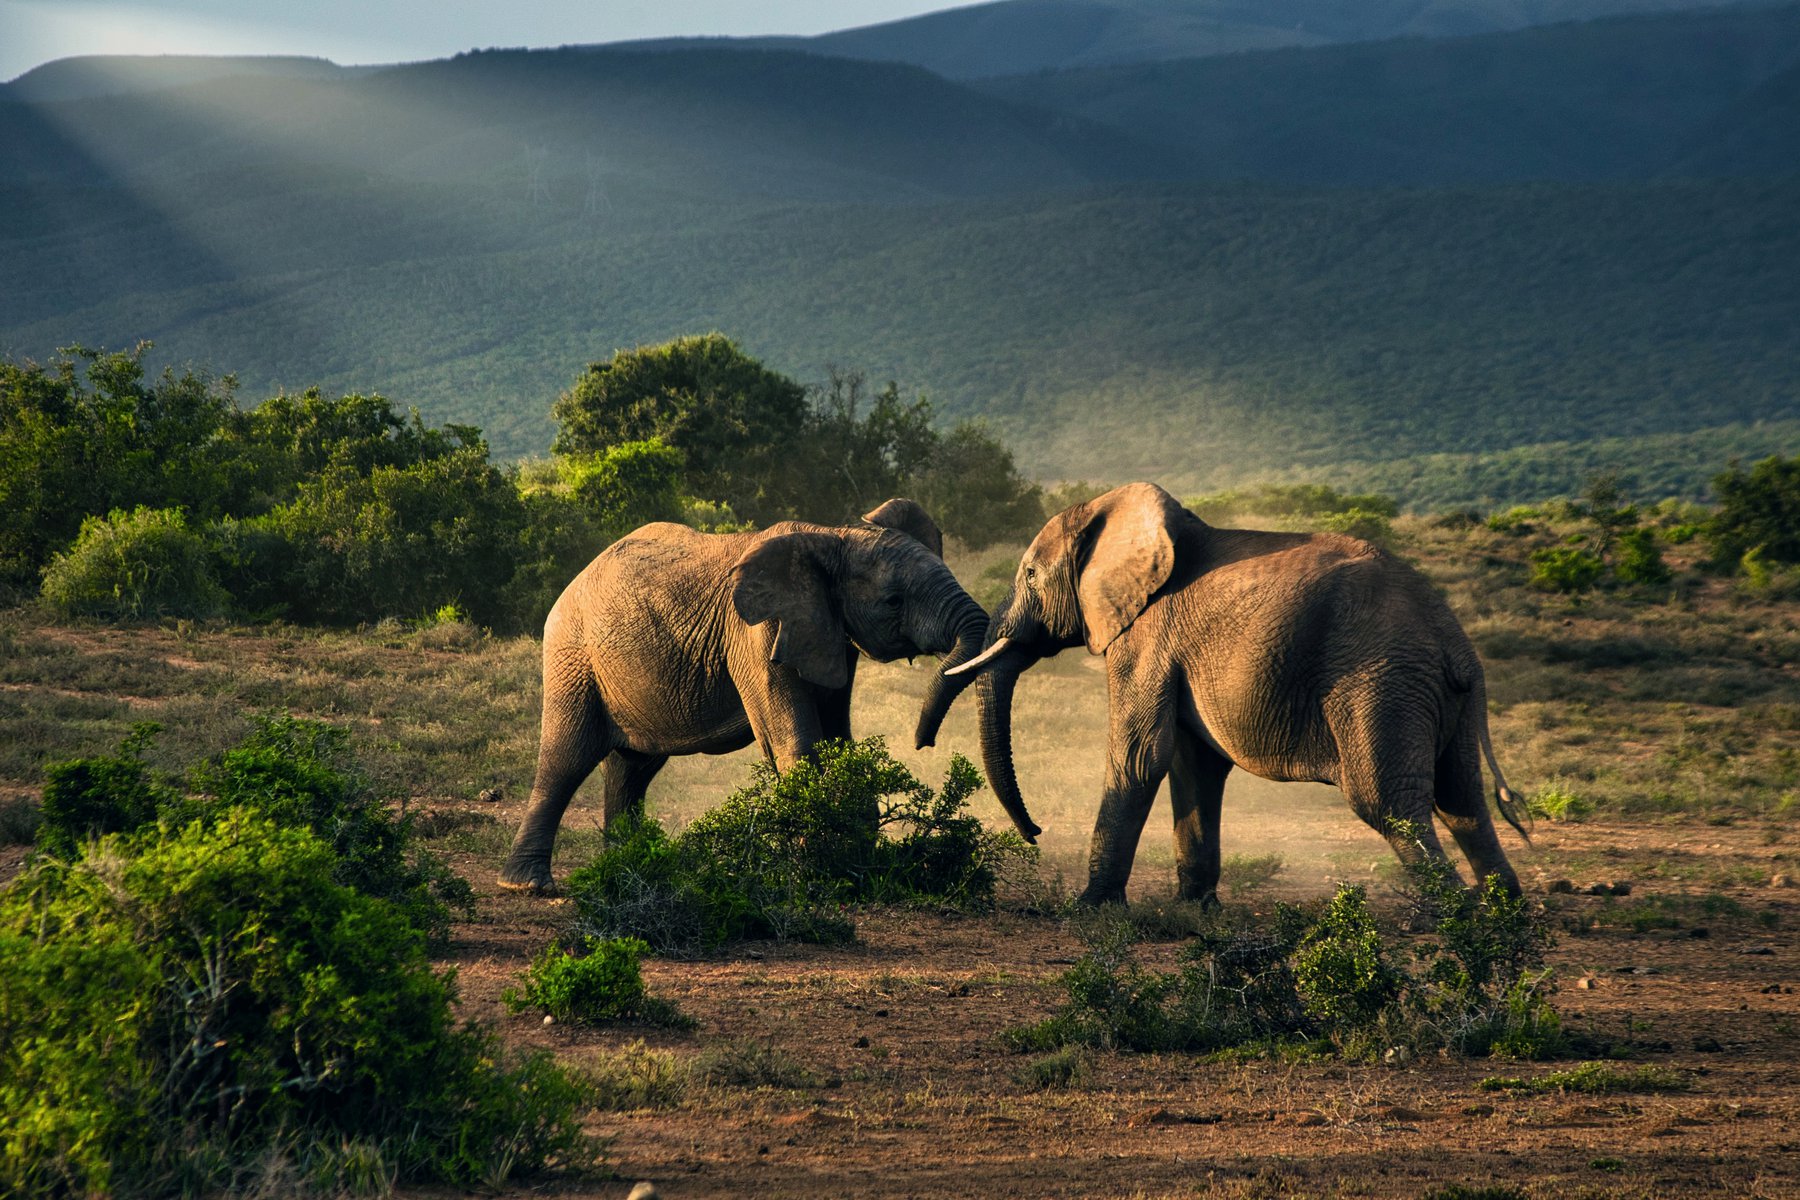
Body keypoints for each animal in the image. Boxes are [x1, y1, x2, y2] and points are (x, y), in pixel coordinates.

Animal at [500, 496, 993, 892]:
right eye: (893, 601)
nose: (922, 741)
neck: (834, 536)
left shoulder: (827, 633)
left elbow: (838, 740)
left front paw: (855, 864)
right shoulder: (755, 635)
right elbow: (796, 742)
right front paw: (814, 873)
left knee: (632, 768)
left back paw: (625, 872)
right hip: (572, 654)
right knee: (568, 756)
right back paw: (527, 886)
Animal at [950, 482, 1526, 906]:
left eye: (1029, 574)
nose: (1035, 832)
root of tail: (1458, 645)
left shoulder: (1148, 635)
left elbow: (1139, 757)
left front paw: (1091, 907)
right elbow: (1192, 763)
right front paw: (1195, 909)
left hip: (1381, 684)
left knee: (1389, 802)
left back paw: (1454, 921)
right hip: (1434, 695)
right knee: (1462, 800)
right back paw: (1503, 914)